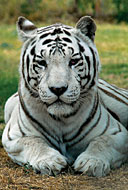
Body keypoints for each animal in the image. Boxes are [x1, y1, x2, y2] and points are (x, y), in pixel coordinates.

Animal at [1, 15, 128, 177]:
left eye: (73, 61)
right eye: (42, 62)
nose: (58, 89)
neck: (61, 120)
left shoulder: (118, 133)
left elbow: (102, 142)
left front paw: (92, 162)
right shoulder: (13, 136)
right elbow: (33, 141)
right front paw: (49, 161)